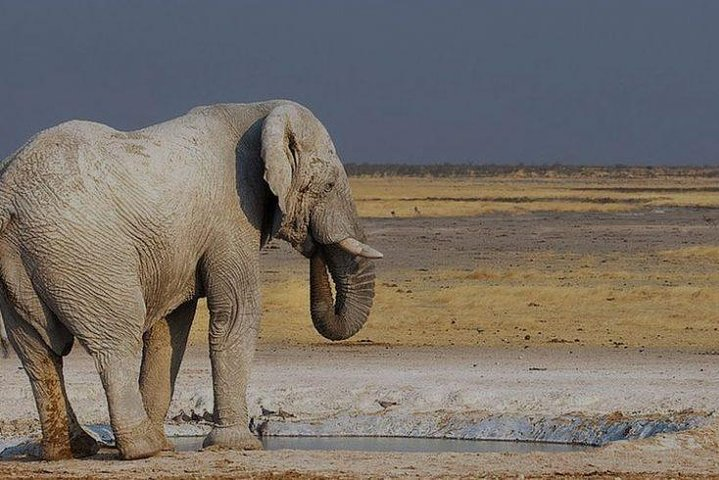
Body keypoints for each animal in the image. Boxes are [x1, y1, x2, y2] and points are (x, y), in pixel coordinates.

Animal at [0, 100, 382, 460]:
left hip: (23, 263)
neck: (259, 111)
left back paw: (72, 450)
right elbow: (236, 313)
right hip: (86, 253)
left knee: (36, 351)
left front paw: (176, 444)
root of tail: (8, 192)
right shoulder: (232, 216)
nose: (313, 244)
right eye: (328, 186)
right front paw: (237, 446)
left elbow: (170, 329)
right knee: (116, 343)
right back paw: (142, 449)